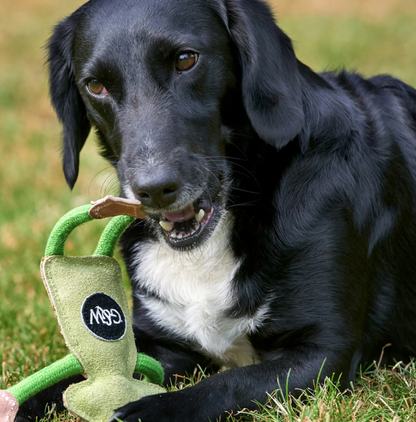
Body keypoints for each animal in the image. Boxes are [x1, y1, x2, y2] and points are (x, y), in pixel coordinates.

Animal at [19, 0, 416, 420]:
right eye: (95, 85)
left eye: (186, 60)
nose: (153, 189)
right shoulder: (161, 343)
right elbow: (61, 380)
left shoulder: (323, 353)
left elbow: (226, 384)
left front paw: (151, 409)